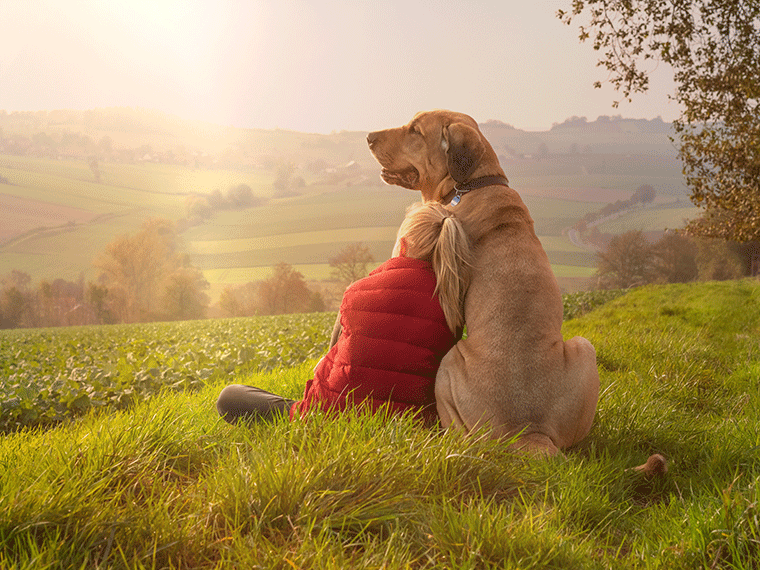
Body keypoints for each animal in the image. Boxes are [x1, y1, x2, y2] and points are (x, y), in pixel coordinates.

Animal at [368, 110, 600, 452]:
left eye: (415, 131)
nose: (369, 137)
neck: (471, 183)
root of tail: (529, 431)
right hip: (585, 348)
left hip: (449, 363)